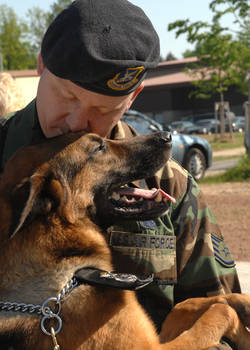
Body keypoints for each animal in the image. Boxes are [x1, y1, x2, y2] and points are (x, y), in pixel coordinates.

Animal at [0, 131, 249, 350]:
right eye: (99, 147)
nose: (167, 135)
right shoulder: (151, 347)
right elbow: (219, 313)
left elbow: (185, 304)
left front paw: (242, 302)